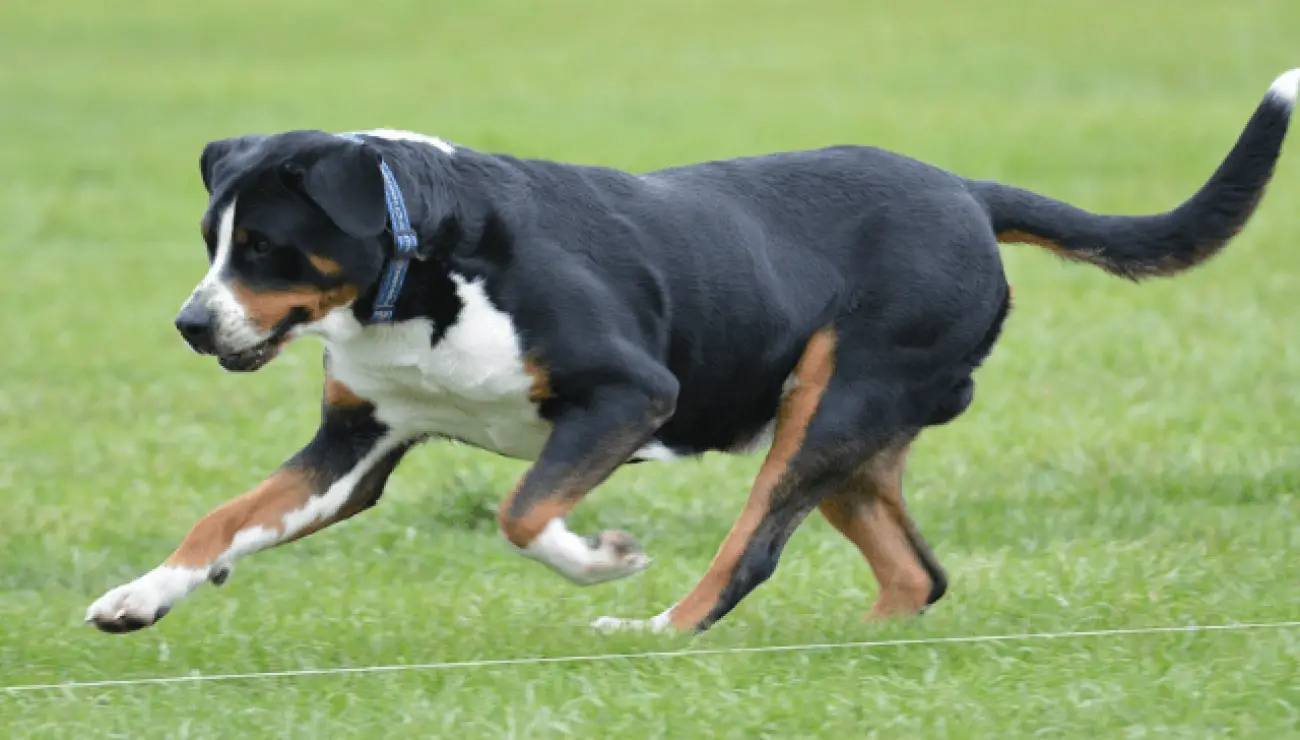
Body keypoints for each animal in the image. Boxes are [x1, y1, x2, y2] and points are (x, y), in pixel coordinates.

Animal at [86, 70, 1294, 634]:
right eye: (212, 240)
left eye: (268, 246)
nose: (192, 324)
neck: (422, 271)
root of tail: (962, 189)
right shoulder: (358, 442)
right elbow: (226, 517)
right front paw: (140, 596)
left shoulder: (628, 394)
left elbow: (523, 509)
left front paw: (604, 557)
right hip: (846, 430)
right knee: (915, 571)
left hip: (831, 401)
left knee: (749, 550)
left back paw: (655, 625)